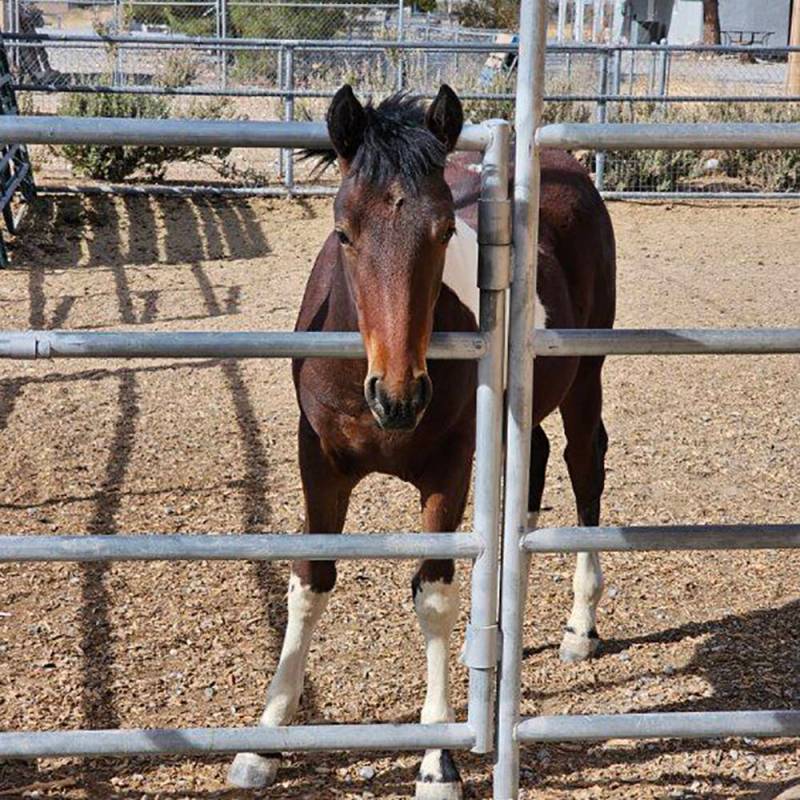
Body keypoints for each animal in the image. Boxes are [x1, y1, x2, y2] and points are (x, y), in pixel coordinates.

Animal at [228, 84, 616, 796]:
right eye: (343, 232)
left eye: (443, 232)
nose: (399, 397)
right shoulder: (318, 464)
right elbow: (310, 581)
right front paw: (264, 741)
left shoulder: (447, 472)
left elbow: (432, 595)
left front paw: (438, 759)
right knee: (536, 462)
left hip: (585, 375)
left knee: (584, 465)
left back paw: (581, 626)